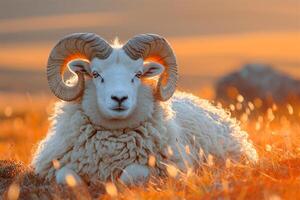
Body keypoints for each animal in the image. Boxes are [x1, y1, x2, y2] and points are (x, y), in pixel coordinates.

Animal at [31, 32, 258, 184]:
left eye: (138, 74)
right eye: (96, 74)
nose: (119, 98)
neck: (113, 141)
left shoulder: (171, 167)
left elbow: (130, 175)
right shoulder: (53, 166)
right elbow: (66, 177)